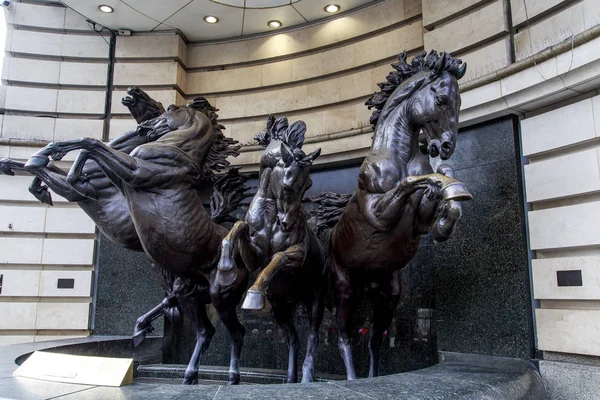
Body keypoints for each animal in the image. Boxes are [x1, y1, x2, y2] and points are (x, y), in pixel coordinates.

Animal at [25, 100, 248, 384]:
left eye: (169, 108)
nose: (144, 127)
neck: (177, 149)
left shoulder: (135, 171)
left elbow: (92, 143)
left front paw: (45, 158)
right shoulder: (121, 181)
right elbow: (91, 150)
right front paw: (53, 161)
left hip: (221, 295)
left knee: (236, 331)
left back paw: (232, 376)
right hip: (190, 292)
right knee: (203, 329)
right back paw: (186, 372)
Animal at [328, 51, 474, 380]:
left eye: (461, 102)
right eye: (442, 99)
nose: (447, 146)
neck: (400, 156)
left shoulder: (419, 224)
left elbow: (443, 194)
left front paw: (448, 207)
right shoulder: (377, 212)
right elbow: (412, 182)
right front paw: (443, 186)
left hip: (388, 293)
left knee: (373, 339)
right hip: (344, 288)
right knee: (343, 337)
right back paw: (353, 379)